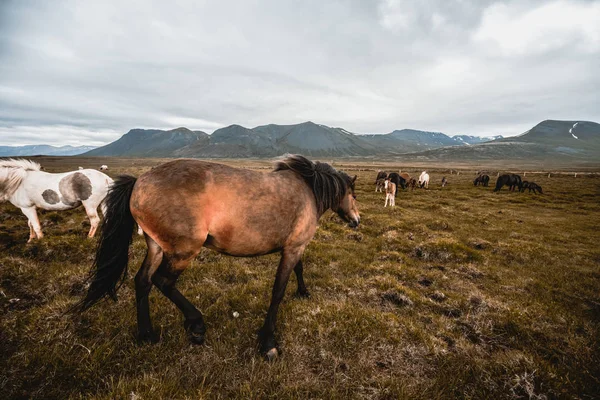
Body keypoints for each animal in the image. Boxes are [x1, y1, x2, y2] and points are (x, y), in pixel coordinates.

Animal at [78, 155, 360, 360]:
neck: (308, 191)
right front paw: (268, 342)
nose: (356, 220)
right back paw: (196, 326)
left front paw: (303, 291)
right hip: (183, 250)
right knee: (163, 281)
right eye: (353, 195)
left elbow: (299, 270)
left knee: (143, 281)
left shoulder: (294, 246)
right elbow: (278, 291)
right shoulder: (293, 248)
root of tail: (139, 182)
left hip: (156, 246)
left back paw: (147, 334)